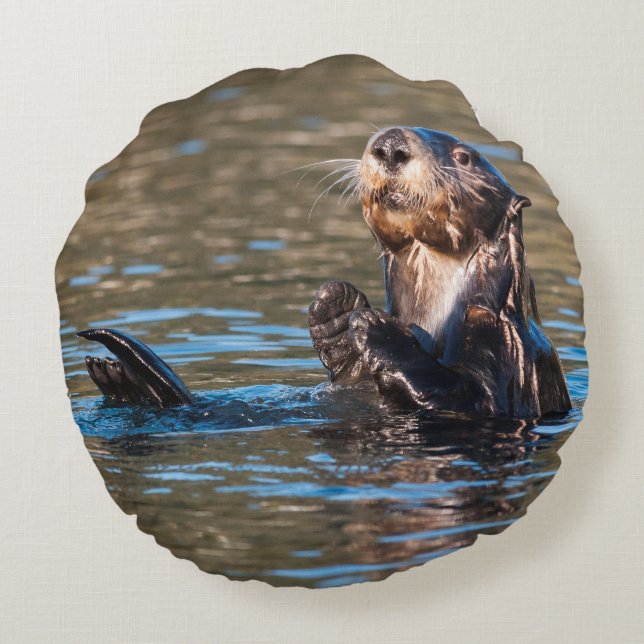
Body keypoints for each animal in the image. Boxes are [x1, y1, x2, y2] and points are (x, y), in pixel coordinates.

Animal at [78, 127, 571, 419]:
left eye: (465, 158)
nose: (391, 145)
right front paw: (336, 308)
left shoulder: (503, 343)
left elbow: (473, 399)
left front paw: (376, 328)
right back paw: (119, 380)